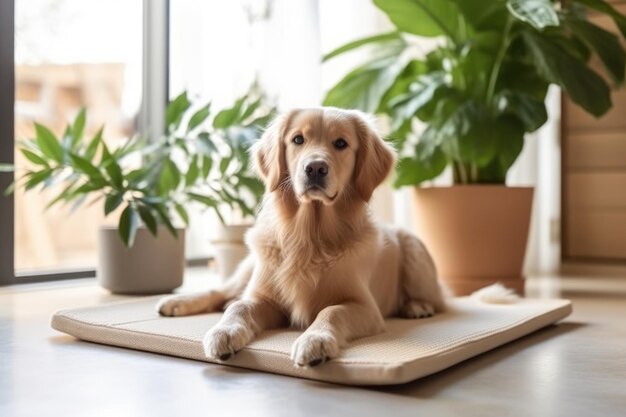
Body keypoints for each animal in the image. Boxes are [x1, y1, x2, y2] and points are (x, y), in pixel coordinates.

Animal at [156, 108, 444, 368]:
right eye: (297, 139)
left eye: (341, 143)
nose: (315, 168)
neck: (308, 237)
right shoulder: (265, 298)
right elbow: (240, 307)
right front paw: (224, 332)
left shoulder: (365, 307)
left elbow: (332, 310)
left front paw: (315, 340)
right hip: (250, 267)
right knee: (224, 292)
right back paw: (175, 302)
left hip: (414, 247)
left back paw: (417, 306)